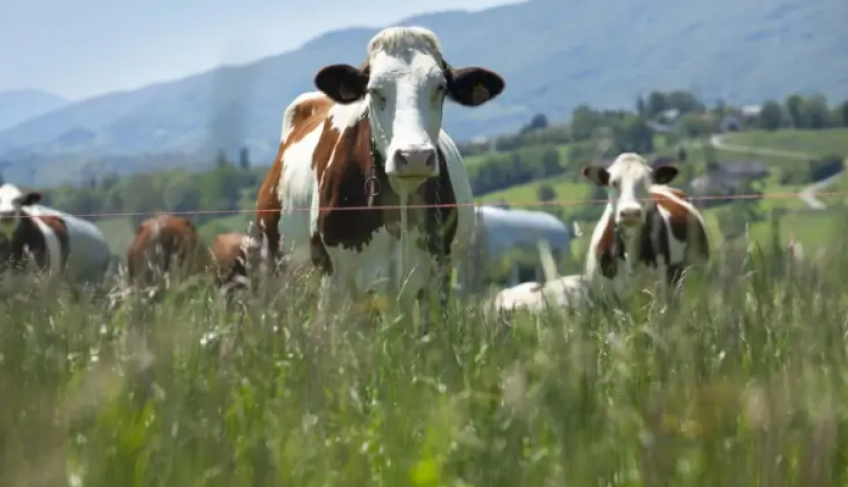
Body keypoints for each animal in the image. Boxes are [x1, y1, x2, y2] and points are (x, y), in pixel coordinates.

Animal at [252, 26, 504, 316]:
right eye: (374, 90)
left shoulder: (437, 274)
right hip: (278, 272)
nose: (414, 157)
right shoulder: (334, 277)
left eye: (440, 87)